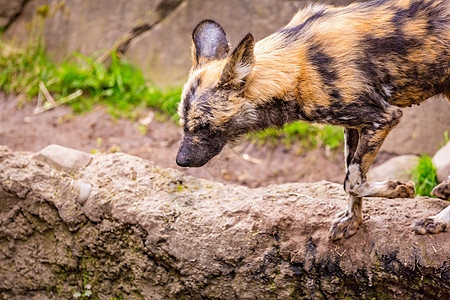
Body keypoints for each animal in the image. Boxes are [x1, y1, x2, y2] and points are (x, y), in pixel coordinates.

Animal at [176, 0, 450, 240]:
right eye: (184, 124)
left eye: (203, 126)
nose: (180, 160)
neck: (297, 69)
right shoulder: (354, 125)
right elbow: (352, 177)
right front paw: (353, 222)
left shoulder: (383, 118)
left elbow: (351, 182)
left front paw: (399, 188)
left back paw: (438, 221)